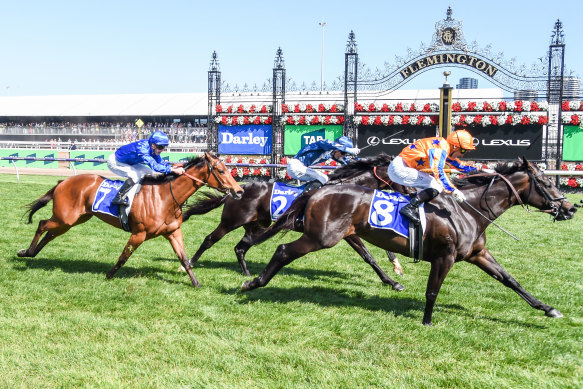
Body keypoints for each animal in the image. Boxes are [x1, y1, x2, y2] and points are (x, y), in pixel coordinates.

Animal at [17, 150, 243, 286]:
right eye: (221, 170)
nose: (239, 191)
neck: (165, 197)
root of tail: (63, 182)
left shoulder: (173, 232)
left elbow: (185, 259)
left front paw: (196, 283)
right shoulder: (139, 233)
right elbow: (123, 257)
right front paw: (108, 276)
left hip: (74, 219)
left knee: (51, 233)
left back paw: (32, 253)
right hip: (65, 218)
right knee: (42, 224)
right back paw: (25, 252)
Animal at [182, 153, 410, 284]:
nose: (413, 192)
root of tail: (236, 190)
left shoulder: (353, 229)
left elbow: (374, 253)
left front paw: (395, 271)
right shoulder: (347, 232)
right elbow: (368, 255)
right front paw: (392, 280)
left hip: (257, 227)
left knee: (240, 247)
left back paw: (246, 274)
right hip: (231, 221)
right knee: (210, 240)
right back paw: (188, 264)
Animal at [243, 158, 580, 324]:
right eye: (547, 183)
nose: (570, 207)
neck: (469, 210)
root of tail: (319, 190)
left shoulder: (478, 254)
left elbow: (511, 280)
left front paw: (548, 309)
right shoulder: (444, 256)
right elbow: (432, 291)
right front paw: (427, 321)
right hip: (321, 237)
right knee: (282, 250)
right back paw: (252, 282)